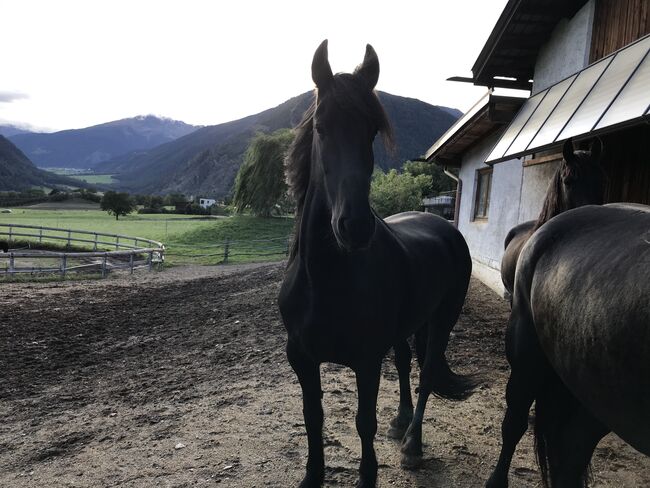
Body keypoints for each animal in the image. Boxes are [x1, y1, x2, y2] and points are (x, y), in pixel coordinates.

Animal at [276, 40, 474, 486]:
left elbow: (363, 422)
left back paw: (413, 444)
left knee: (427, 373)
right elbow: (312, 418)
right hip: (408, 326)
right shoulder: (301, 358)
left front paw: (368, 475)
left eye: (371, 130)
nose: (354, 227)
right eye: (321, 127)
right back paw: (401, 422)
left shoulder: (365, 362)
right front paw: (312, 475)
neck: (324, 281)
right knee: (403, 363)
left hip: (443, 319)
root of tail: (444, 227)